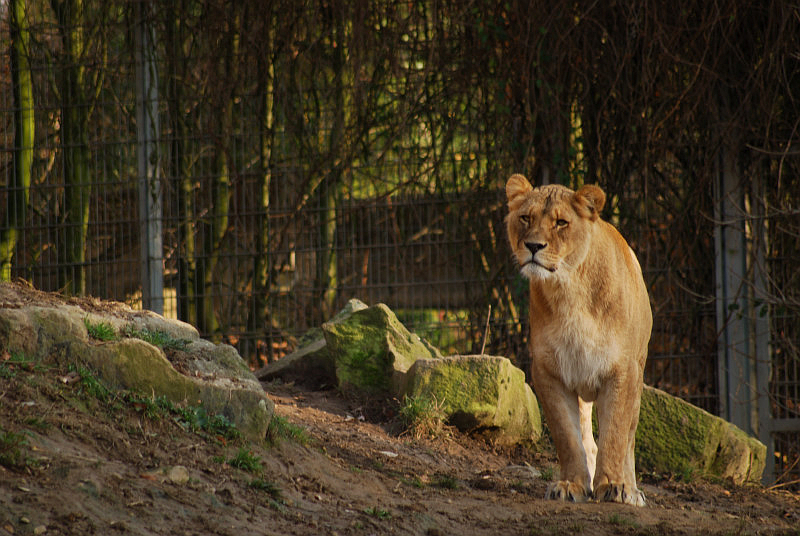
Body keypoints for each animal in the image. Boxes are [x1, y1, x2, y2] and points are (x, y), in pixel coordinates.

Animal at [505, 174, 652, 506]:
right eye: (525, 218)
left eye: (561, 223)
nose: (533, 246)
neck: (568, 288)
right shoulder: (549, 372)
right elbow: (568, 437)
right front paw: (571, 485)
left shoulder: (622, 371)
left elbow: (615, 434)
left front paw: (613, 486)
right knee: (587, 439)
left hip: (638, 374)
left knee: (629, 439)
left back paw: (632, 490)